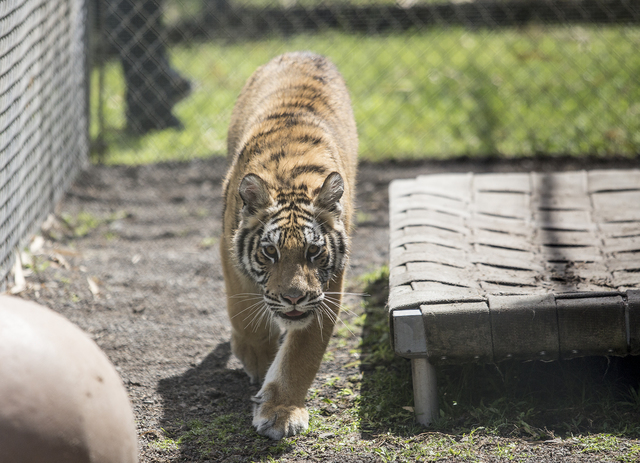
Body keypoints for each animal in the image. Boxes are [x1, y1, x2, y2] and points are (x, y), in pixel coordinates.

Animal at [220, 52, 358, 440]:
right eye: (270, 252)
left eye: (313, 252)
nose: (293, 298)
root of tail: (306, 52)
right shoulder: (230, 256)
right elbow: (244, 313)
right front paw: (257, 358)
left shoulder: (327, 287)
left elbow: (302, 353)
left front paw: (281, 411)